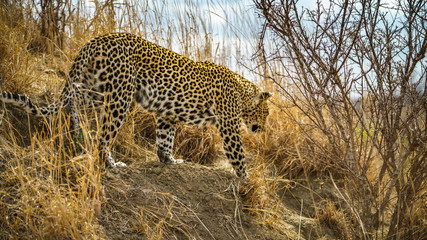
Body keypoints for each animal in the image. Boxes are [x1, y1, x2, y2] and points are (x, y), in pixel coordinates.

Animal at [1, 32, 270, 178]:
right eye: (266, 113)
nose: (264, 128)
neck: (242, 92)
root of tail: (96, 40)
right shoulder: (229, 126)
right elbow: (238, 155)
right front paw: (245, 179)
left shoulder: (166, 115)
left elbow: (164, 140)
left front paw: (168, 160)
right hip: (120, 95)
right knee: (102, 138)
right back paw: (109, 163)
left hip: (98, 88)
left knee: (74, 96)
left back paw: (76, 127)